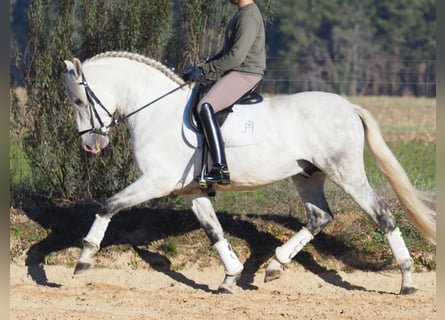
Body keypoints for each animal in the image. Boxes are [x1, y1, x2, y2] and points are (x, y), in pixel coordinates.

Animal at [64, 51, 436, 294]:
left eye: (79, 101)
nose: (91, 146)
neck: (157, 111)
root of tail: (348, 106)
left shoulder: (156, 182)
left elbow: (108, 206)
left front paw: (85, 257)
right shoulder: (191, 191)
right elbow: (214, 231)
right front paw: (231, 277)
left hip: (346, 173)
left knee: (382, 216)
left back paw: (408, 281)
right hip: (307, 175)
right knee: (320, 217)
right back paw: (274, 266)